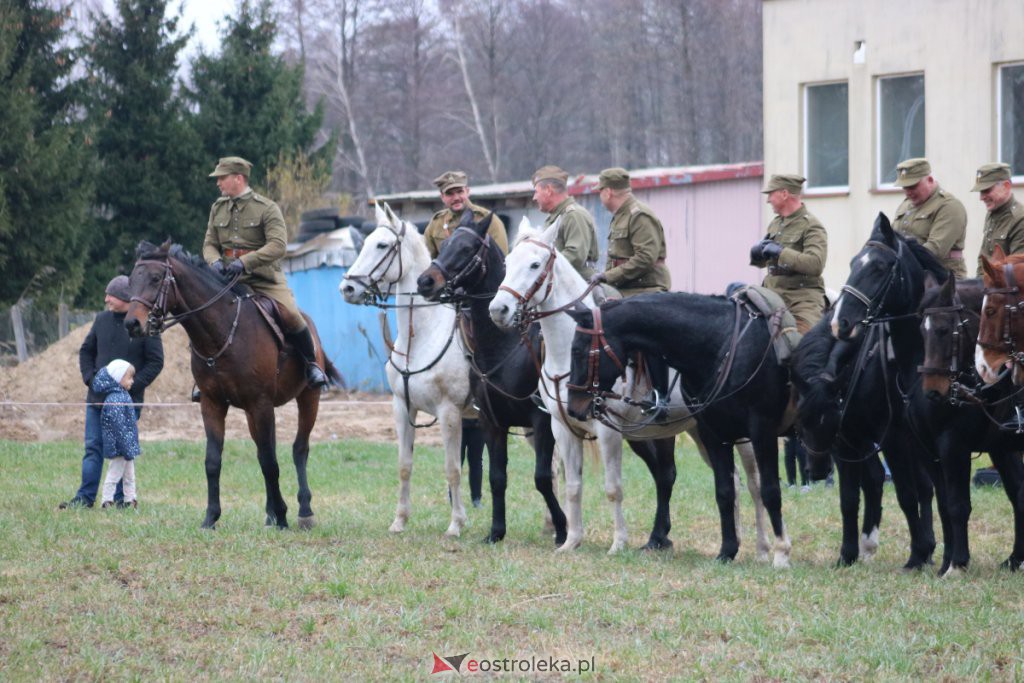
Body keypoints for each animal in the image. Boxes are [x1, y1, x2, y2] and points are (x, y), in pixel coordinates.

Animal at [124, 242, 339, 532]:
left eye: (156, 278)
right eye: (131, 280)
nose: (132, 324)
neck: (221, 333)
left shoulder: (261, 403)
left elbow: (271, 462)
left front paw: (283, 516)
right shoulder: (213, 404)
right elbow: (214, 461)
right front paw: (211, 517)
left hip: (307, 398)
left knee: (299, 449)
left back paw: (304, 511)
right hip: (252, 413)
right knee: (264, 451)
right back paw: (270, 514)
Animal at [342, 202, 473, 540]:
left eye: (382, 245)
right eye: (364, 242)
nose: (347, 287)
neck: (423, 335)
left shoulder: (450, 413)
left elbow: (453, 469)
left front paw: (456, 524)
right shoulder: (402, 407)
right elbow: (404, 465)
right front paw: (400, 520)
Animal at [565, 290, 794, 565]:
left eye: (578, 351)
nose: (573, 408)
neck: (725, 345)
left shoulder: (762, 429)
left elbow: (770, 490)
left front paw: (782, 552)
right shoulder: (713, 433)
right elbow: (724, 491)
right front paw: (727, 551)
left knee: (755, 485)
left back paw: (765, 549)